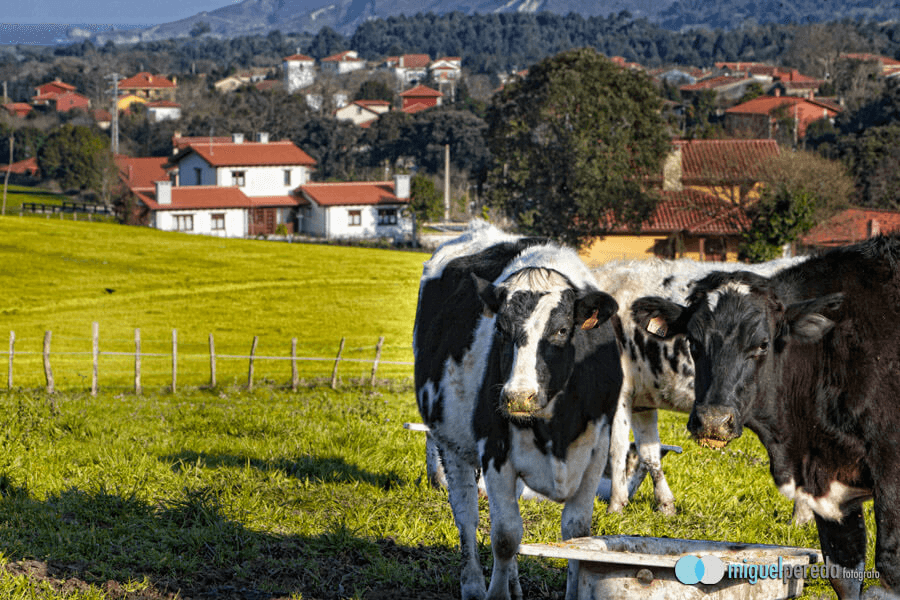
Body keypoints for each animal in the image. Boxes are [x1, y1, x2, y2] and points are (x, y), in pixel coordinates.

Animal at [414, 221, 620, 600]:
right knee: (467, 516)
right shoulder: (494, 452)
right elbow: (506, 536)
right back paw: (474, 585)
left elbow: (576, 535)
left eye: (562, 330)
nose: (517, 397)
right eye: (500, 328)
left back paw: (513, 583)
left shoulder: (596, 451)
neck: (555, 432)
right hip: (452, 444)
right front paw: (495, 593)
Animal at [588, 256, 804, 516]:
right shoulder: (641, 398)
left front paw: (615, 506)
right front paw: (665, 506)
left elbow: (616, 449)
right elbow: (649, 452)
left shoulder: (618, 393)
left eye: (764, 344)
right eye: (692, 340)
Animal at [628, 236, 900, 600]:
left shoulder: (891, 475)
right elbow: (844, 573)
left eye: (762, 344)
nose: (713, 420)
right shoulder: (831, 488)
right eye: (693, 342)